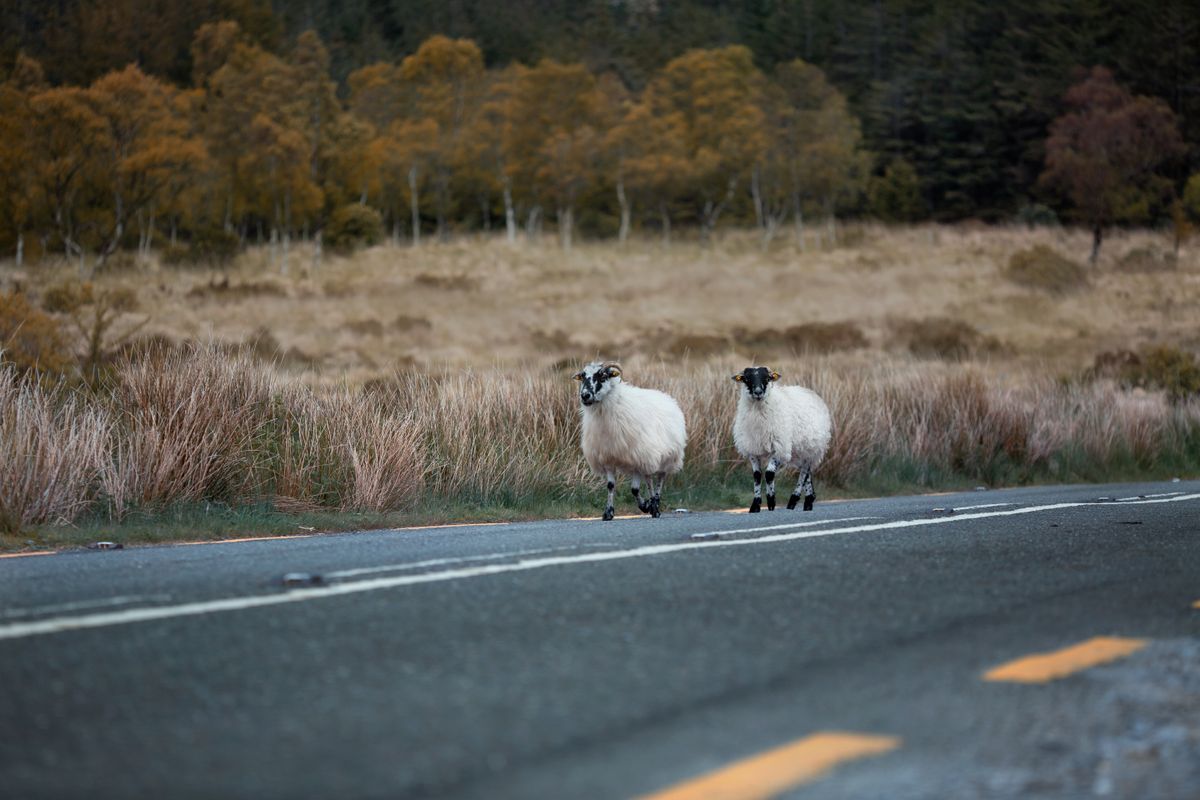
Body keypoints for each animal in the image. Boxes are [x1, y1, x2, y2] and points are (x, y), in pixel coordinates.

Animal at [575, 361, 687, 521]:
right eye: (582, 377)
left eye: (602, 376)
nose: (585, 395)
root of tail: (667, 397)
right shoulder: (608, 458)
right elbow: (610, 485)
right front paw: (608, 512)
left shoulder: (637, 458)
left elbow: (634, 490)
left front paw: (645, 506)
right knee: (649, 479)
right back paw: (653, 505)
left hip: (667, 457)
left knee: (659, 479)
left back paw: (655, 505)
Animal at [731, 366, 832, 513]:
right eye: (747, 379)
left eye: (767, 378)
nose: (758, 392)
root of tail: (809, 391)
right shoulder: (753, 450)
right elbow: (757, 476)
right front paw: (755, 505)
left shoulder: (779, 447)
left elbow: (769, 474)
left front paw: (771, 502)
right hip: (799, 450)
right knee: (807, 473)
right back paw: (809, 499)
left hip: (812, 448)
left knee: (804, 472)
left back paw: (796, 499)